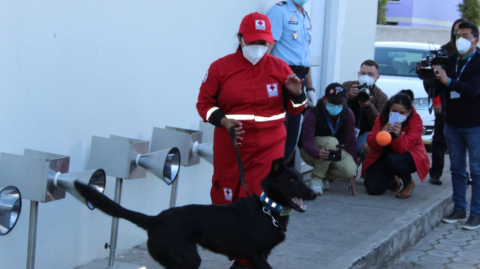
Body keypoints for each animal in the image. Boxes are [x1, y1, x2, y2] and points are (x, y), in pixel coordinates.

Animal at [75, 158, 316, 266]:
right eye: (292, 180)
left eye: (300, 177)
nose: (314, 194)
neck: (268, 209)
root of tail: (157, 219)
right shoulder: (254, 255)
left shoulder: (258, 256)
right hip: (188, 259)